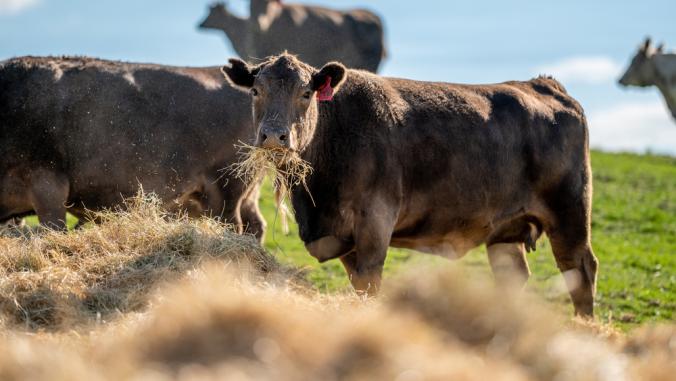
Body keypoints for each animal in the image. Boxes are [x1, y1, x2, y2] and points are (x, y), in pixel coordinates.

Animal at [0, 55, 264, 239]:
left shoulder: (48, 186)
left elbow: (53, 230)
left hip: (227, 187)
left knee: (235, 226)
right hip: (247, 193)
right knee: (256, 226)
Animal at [224, 52, 600, 314]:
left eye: (306, 93)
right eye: (256, 90)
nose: (274, 136)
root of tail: (542, 84)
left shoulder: (375, 220)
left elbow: (369, 281)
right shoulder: (341, 236)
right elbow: (357, 284)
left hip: (569, 210)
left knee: (580, 270)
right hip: (506, 231)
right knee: (514, 277)